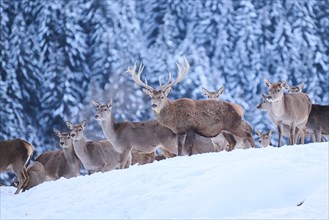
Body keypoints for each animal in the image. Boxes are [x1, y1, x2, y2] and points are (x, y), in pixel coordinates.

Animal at [127, 56, 255, 156]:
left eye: (162, 97)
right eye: (151, 97)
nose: (154, 105)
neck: (173, 118)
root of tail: (240, 109)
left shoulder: (191, 128)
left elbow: (189, 148)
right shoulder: (180, 131)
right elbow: (179, 149)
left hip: (234, 124)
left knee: (247, 134)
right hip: (225, 130)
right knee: (233, 142)